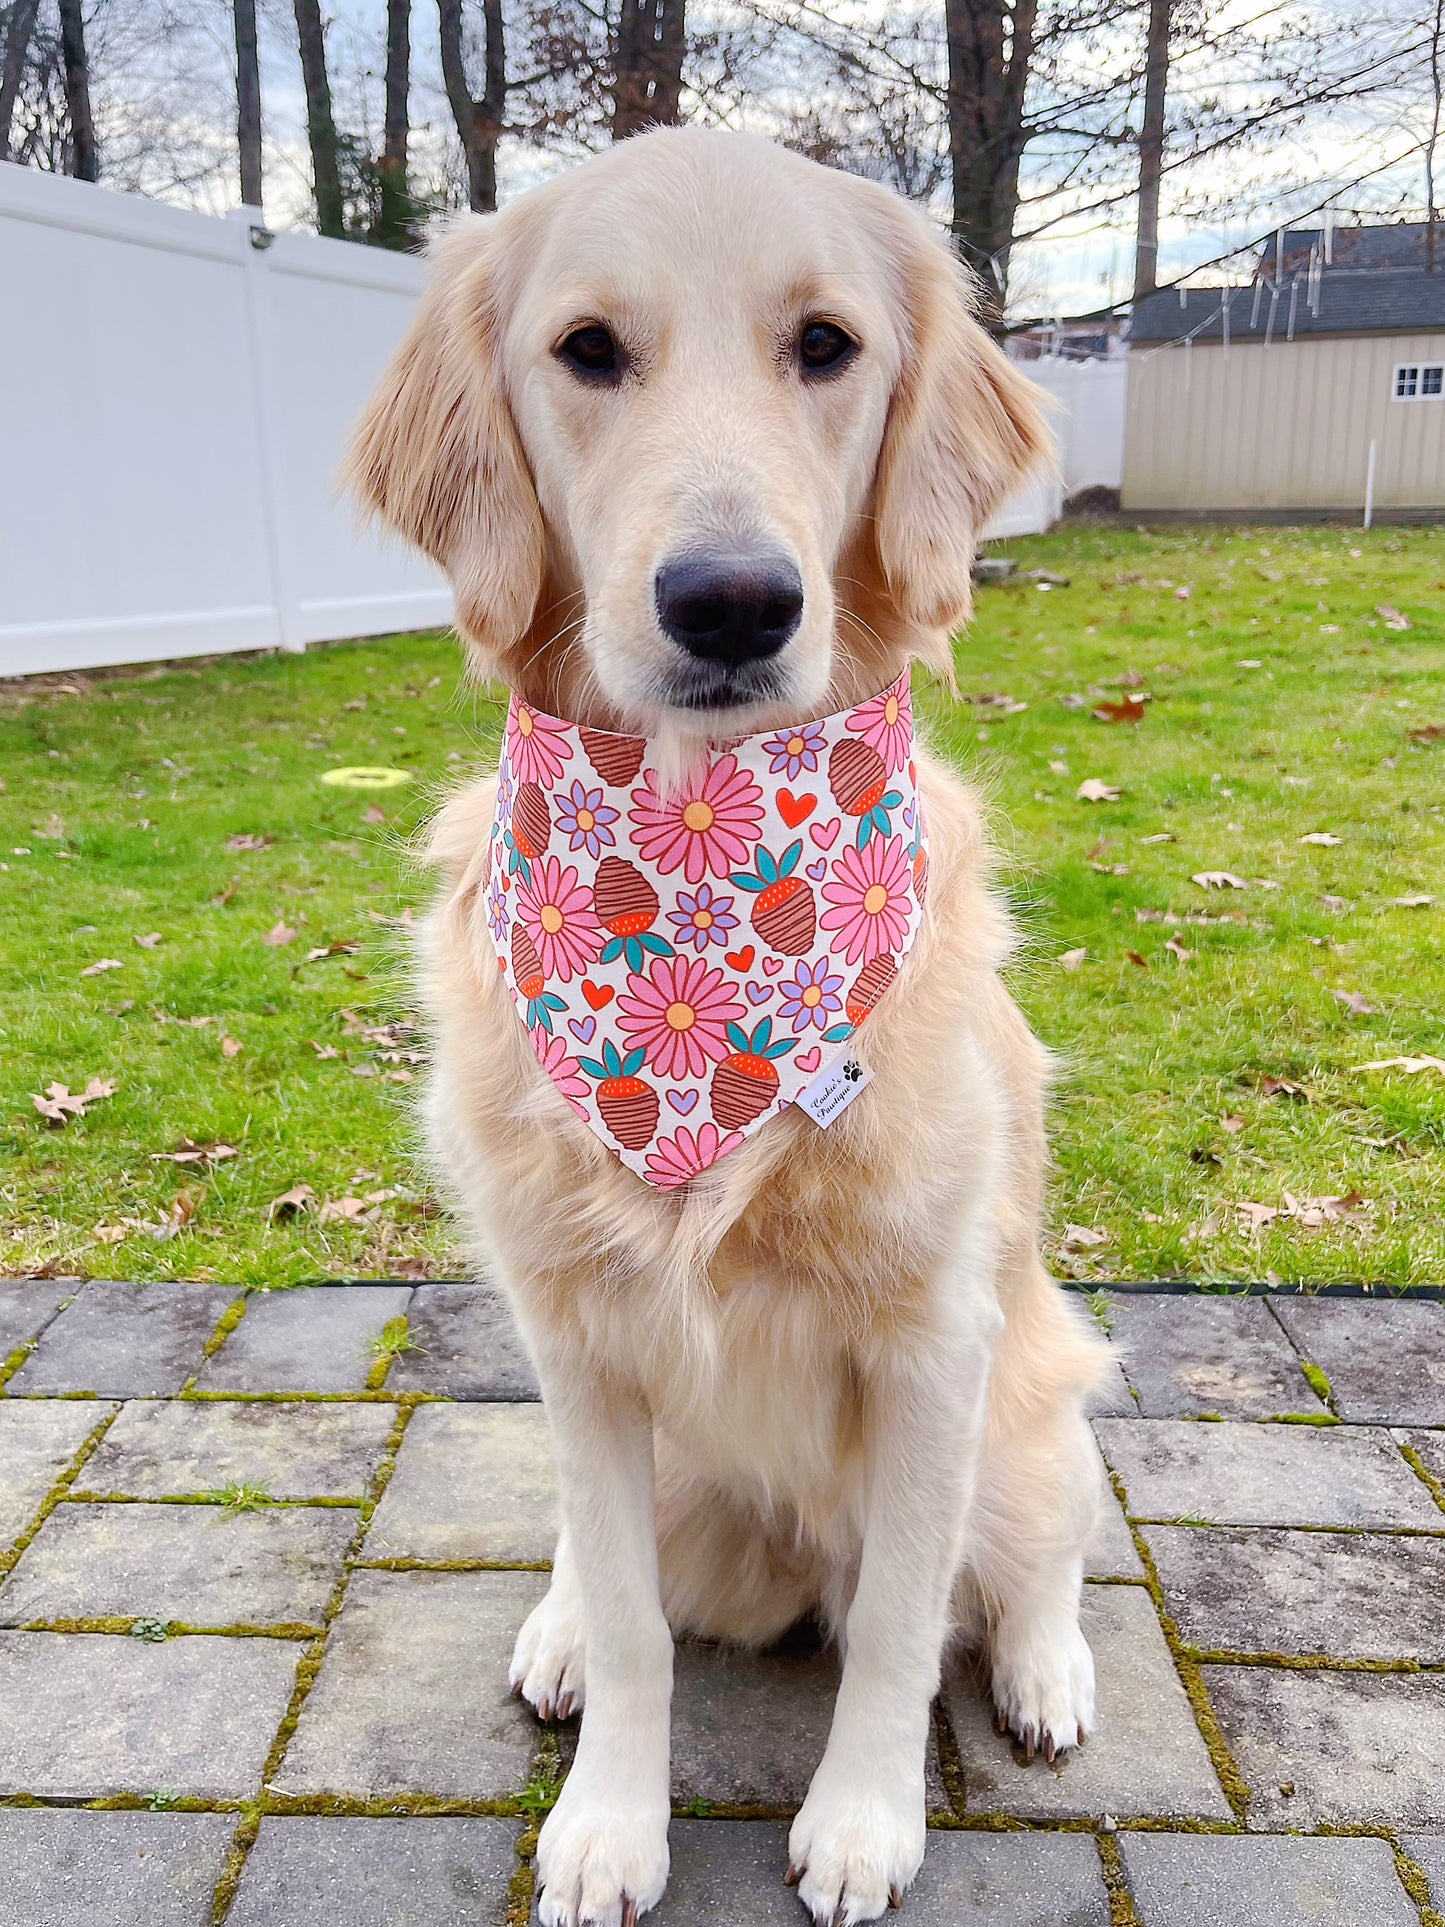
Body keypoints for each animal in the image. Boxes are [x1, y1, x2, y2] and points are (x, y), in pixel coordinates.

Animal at [350, 128, 1109, 1919]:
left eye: (824, 344)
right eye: (586, 350)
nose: (731, 603)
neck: (696, 880)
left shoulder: (935, 1342)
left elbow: (900, 1621)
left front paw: (863, 1818)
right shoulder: (571, 1332)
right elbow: (635, 1623)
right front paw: (610, 1822)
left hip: (1032, 1396)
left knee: (1042, 1544)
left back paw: (1047, 1669)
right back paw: (559, 1622)